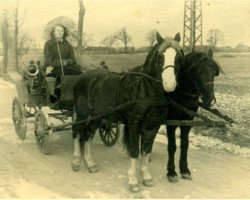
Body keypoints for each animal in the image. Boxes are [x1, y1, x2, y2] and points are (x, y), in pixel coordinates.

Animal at [71, 32, 183, 192]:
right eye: (160, 56)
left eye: (179, 55)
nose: (169, 84)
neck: (145, 88)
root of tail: (81, 76)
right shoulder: (135, 122)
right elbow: (134, 150)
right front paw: (133, 181)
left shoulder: (153, 125)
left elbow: (146, 149)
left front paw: (146, 176)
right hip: (82, 114)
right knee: (77, 131)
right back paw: (76, 161)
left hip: (97, 116)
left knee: (88, 135)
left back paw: (90, 163)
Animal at [148, 49, 221, 182]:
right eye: (197, 71)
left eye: (214, 71)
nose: (210, 100)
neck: (181, 94)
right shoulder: (171, 122)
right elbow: (172, 146)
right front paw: (171, 172)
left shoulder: (188, 121)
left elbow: (185, 144)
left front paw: (184, 169)